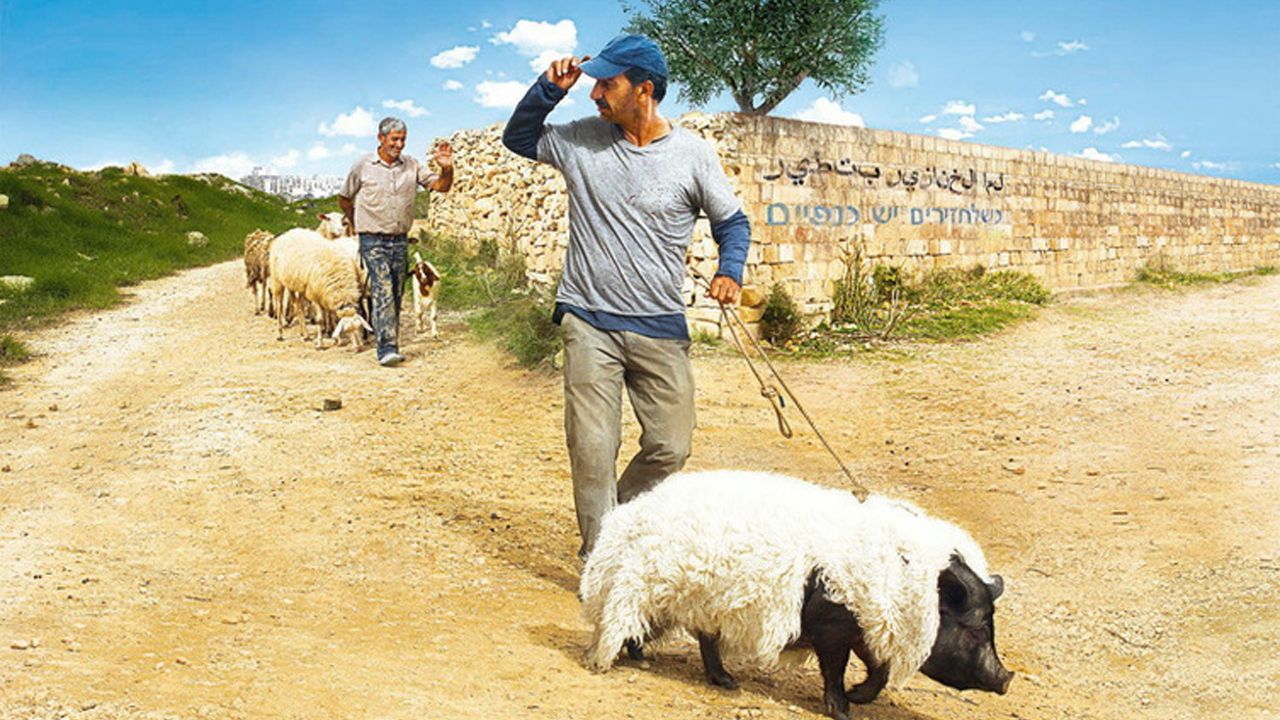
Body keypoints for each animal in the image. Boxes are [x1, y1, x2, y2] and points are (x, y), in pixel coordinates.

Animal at [581, 468, 1008, 712]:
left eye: (991, 625)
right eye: (975, 629)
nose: (1007, 678)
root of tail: (630, 513)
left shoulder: (866, 626)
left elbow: (878, 668)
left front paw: (858, 696)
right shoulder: (832, 625)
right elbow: (836, 668)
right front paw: (841, 709)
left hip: (702, 599)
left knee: (702, 637)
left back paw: (725, 682)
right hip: (645, 584)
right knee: (629, 619)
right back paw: (614, 661)